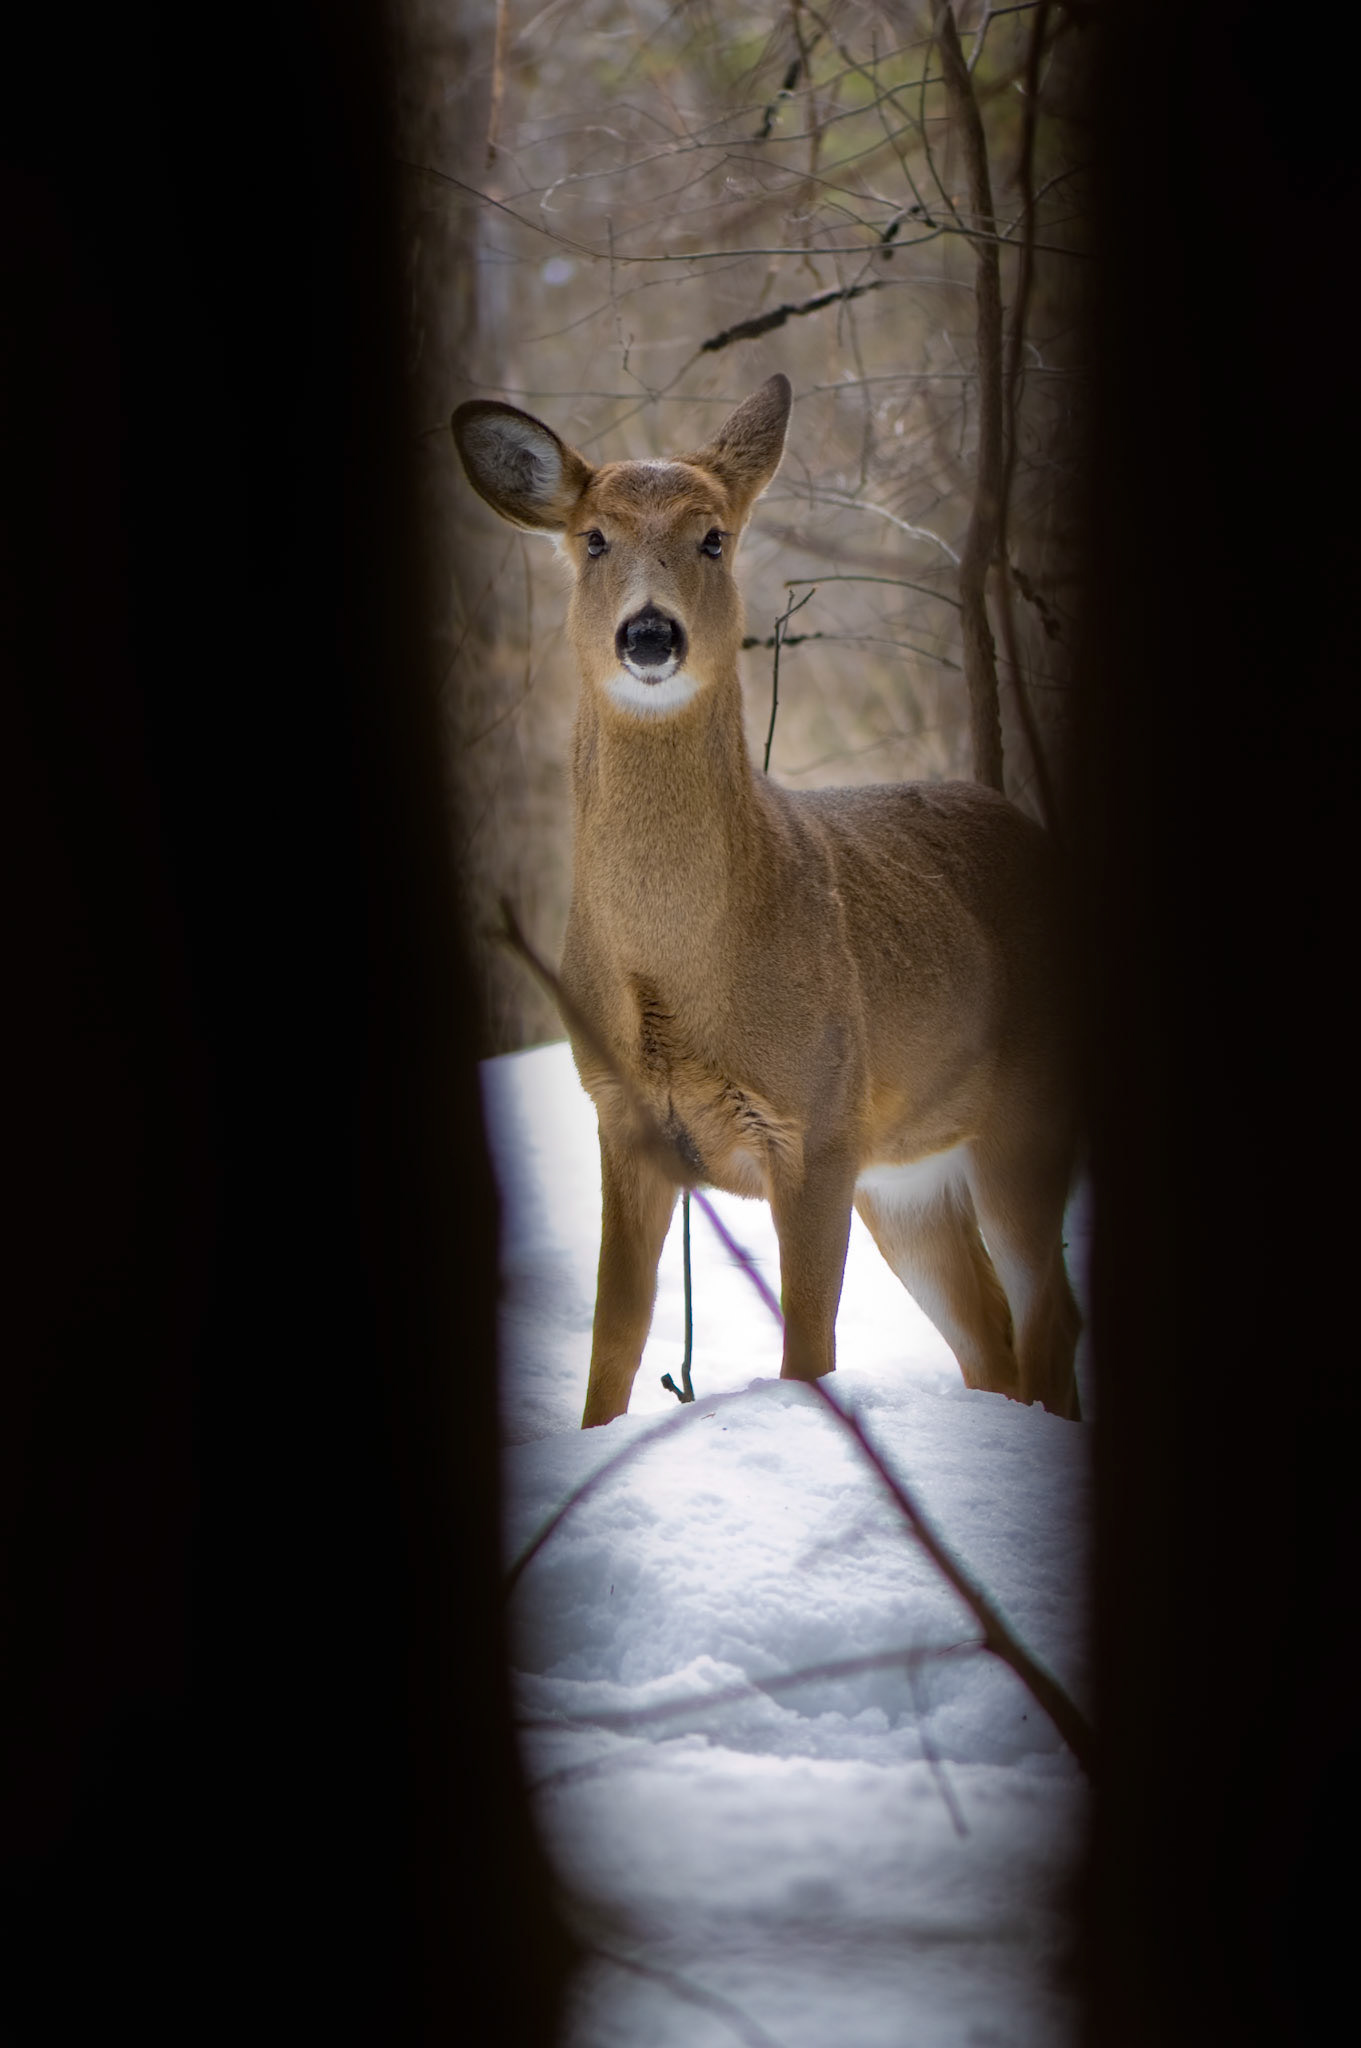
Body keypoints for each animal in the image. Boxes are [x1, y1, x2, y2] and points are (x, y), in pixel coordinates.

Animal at [451, 374, 1081, 1428]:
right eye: (593, 538)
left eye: (713, 537)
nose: (650, 633)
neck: (681, 970)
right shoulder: (621, 1119)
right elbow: (611, 1349)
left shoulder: (817, 1119)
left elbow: (808, 1351)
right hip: (908, 1177)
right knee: (988, 1333)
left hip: (1025, 1122)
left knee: (1046, 1319)